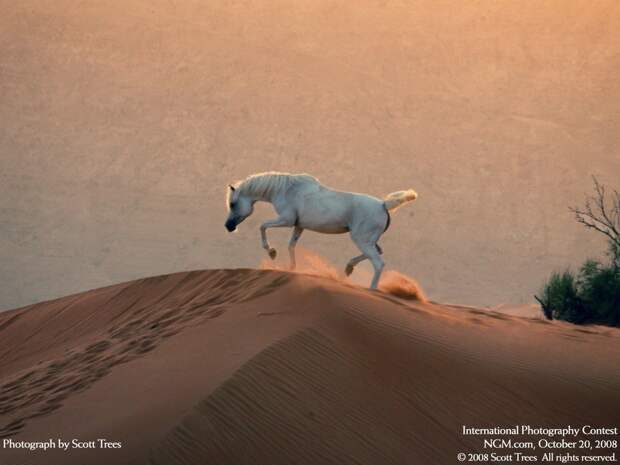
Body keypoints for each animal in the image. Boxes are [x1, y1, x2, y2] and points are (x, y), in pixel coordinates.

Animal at [223, 171, 416, 286]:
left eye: (233, 204)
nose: (228, 226)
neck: (285, 190)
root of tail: (383, 205)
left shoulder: (286, 220)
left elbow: (263, 226)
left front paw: (272, 252)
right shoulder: (298, 226)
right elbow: (291, 245)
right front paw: (292, 268)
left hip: (361, 240)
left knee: (378, 263)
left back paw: (372, 289)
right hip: (368, 240)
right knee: (378, 252)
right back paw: (348, 268)